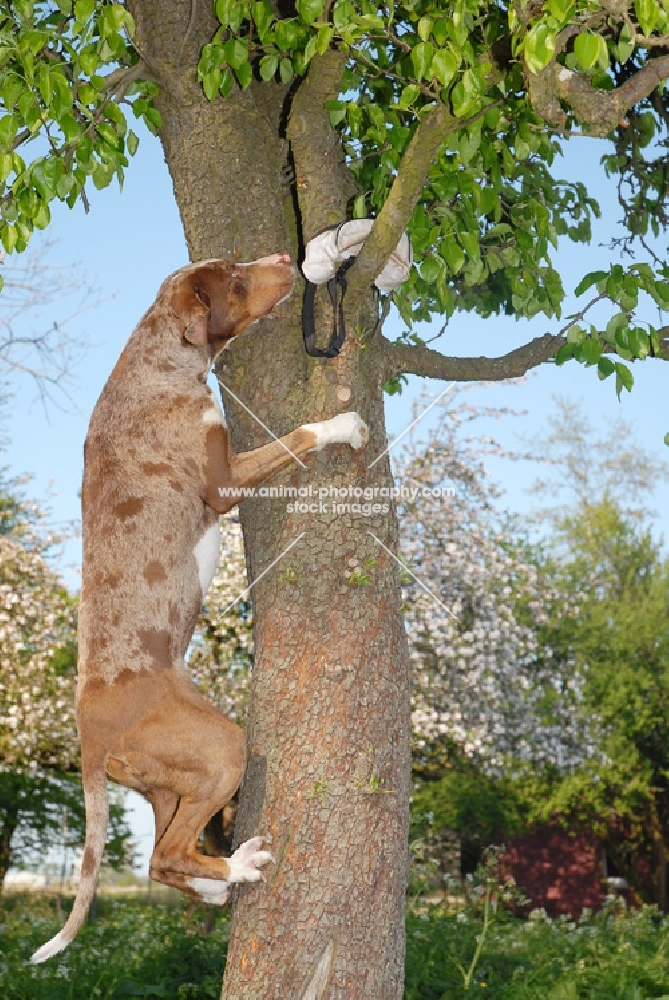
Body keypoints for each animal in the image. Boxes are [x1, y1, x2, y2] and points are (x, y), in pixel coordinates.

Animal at [31, 254, 368, 964]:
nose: (284, 258)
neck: (156, 357)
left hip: (168, 782)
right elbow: (297, 435)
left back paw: (217, 884)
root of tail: (86, 734)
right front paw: (343, 426)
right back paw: (238, 868)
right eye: (234, 281)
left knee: (163, 859)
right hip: (220, 747)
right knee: (171, 853)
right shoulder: (224, 480)